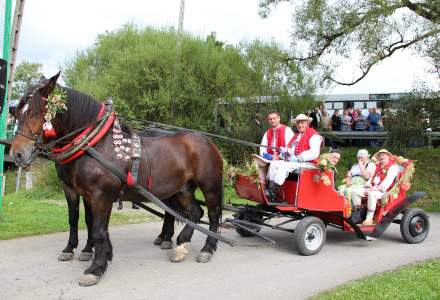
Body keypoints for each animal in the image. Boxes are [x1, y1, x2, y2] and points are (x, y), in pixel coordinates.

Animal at [11, 72, 223, 286]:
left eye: (38, 112)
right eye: (19, 113)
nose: (17, 154)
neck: (96, 144)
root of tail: (206, 140)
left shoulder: (101, 195)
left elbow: (98, 230)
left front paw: (96, 268)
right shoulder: (78, 191)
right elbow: (80, 220)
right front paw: (80, 251)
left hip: (209, 186)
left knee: (212, 215)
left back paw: (206, 249)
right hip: (183, 189)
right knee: (195, 213)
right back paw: (181, 245)